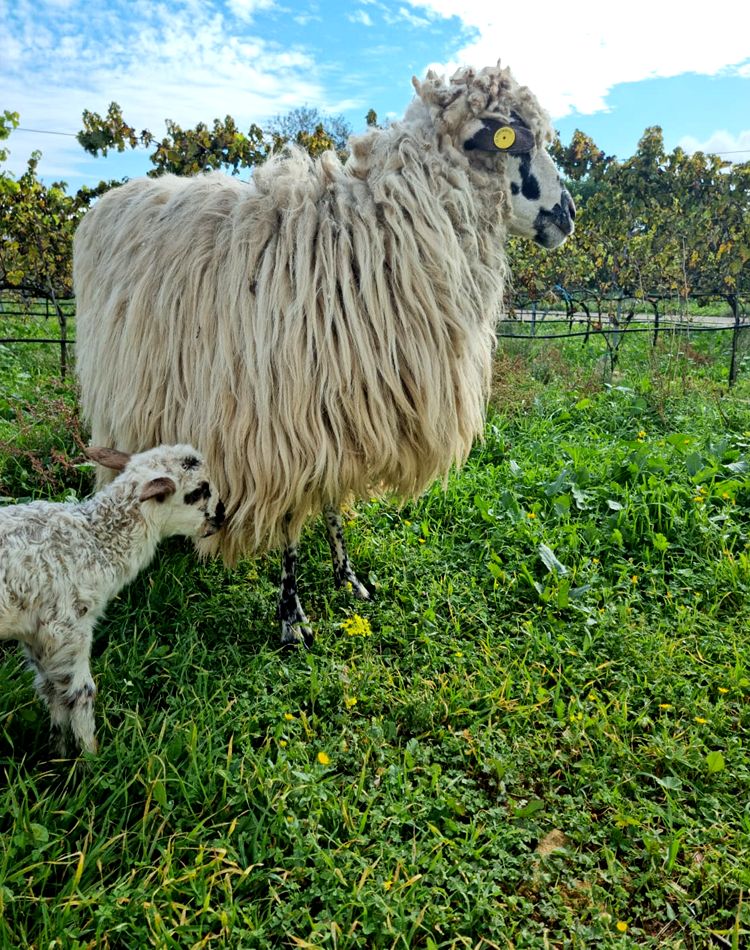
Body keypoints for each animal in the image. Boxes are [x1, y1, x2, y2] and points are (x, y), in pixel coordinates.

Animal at [0, 444, 225, 752]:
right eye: (198, 491)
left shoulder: (37, 635)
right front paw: (90, 756)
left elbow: (51, 691)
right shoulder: (67, 629)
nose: (222, 516)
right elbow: (80, 693)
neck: (94, 541)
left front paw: (58, 752)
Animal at [73, 61, 576, 648]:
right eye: (518, 139)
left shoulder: (340, 407)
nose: (568, 214)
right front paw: (291, 615)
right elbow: (292, 521)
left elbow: (332, 501)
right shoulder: (282, 426)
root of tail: (110, 199)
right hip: (121, 386)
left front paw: (347, 577)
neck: (376, 235)